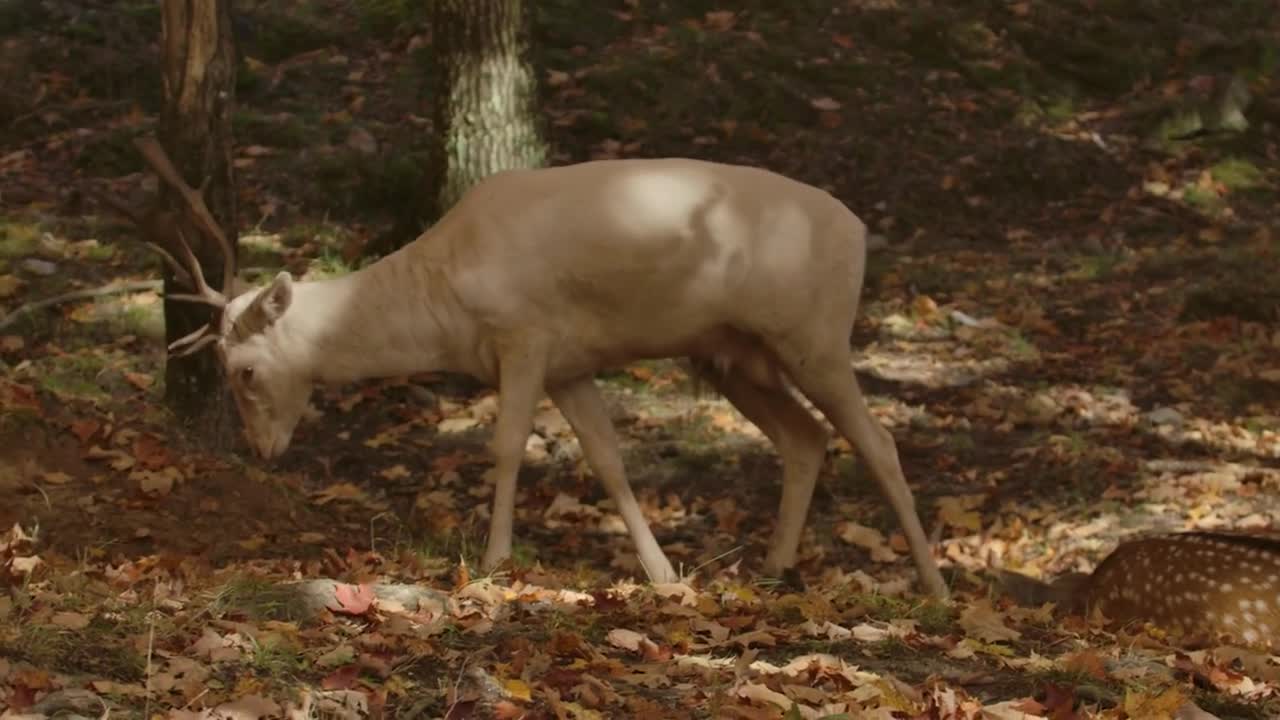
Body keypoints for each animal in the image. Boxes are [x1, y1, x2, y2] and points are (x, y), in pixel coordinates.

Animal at [127, 137, 952, 597]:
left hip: (815, 334)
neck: (445, 297)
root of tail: (861, 232)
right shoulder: (569, 362)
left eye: (244, 371)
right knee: (806, 439)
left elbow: (505, 447)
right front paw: (663, 575)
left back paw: (935, 586)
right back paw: (775, 567)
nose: (263, 451)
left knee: (878, 440)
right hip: (736, 355)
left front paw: (494, 560)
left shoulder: (523, 335)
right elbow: (608, 459)